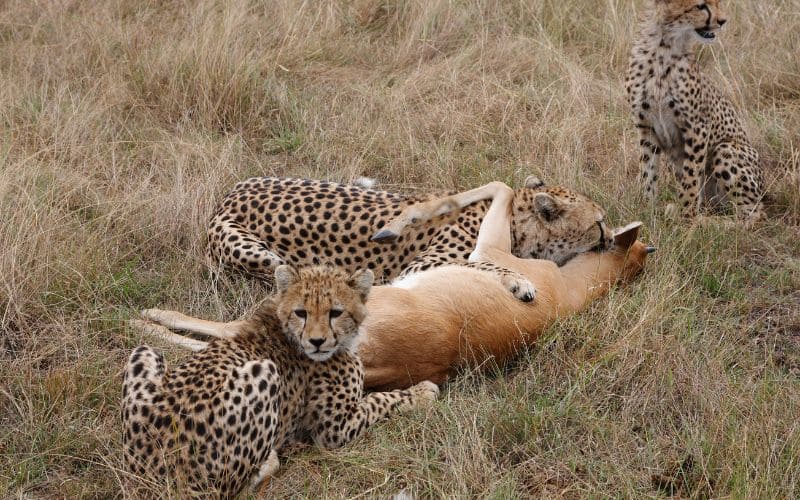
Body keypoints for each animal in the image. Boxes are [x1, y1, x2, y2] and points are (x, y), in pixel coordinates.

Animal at [121, 265, 439, 497]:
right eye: (302, 312)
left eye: (335, 312)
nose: (317, 342)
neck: (285, 329)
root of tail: (153, 472)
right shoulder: (335, 430)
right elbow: (380, 400)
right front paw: (423, 391)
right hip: (264, 372)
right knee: (231, 486)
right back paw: (274, 457)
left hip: (143, 352)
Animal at [205, 175, 614, 302]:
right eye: (598, 223)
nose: (610, 239)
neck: (516, 222)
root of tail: (228, 193)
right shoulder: (416, 268)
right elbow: (476, 264)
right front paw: (518, 281)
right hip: (267, 258)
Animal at [625, 0, 765, 225]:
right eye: (701, 6)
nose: (723, 21)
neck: (663, 47)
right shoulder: (646, 127)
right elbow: (648, 172)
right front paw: (646, 210)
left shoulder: (697, 126)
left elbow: (691, 177)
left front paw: (686, 220)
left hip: (725, 149)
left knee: (754, 214)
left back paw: (710, 223)